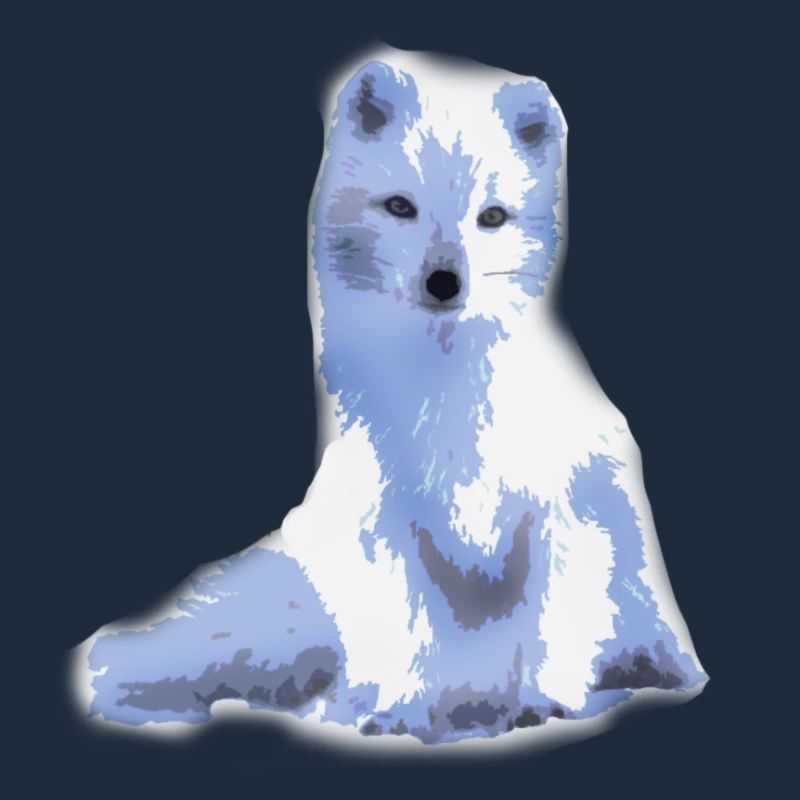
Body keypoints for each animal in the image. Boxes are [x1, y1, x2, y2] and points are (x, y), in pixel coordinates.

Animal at [69, 44, 708, 752]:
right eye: (400, 207)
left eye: (492, 217)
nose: (444, 281)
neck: (448, 391)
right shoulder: (386, 520)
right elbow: (407, 626)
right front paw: (400, 713)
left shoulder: (565, 510)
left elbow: (552, 623)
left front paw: (548, 704)